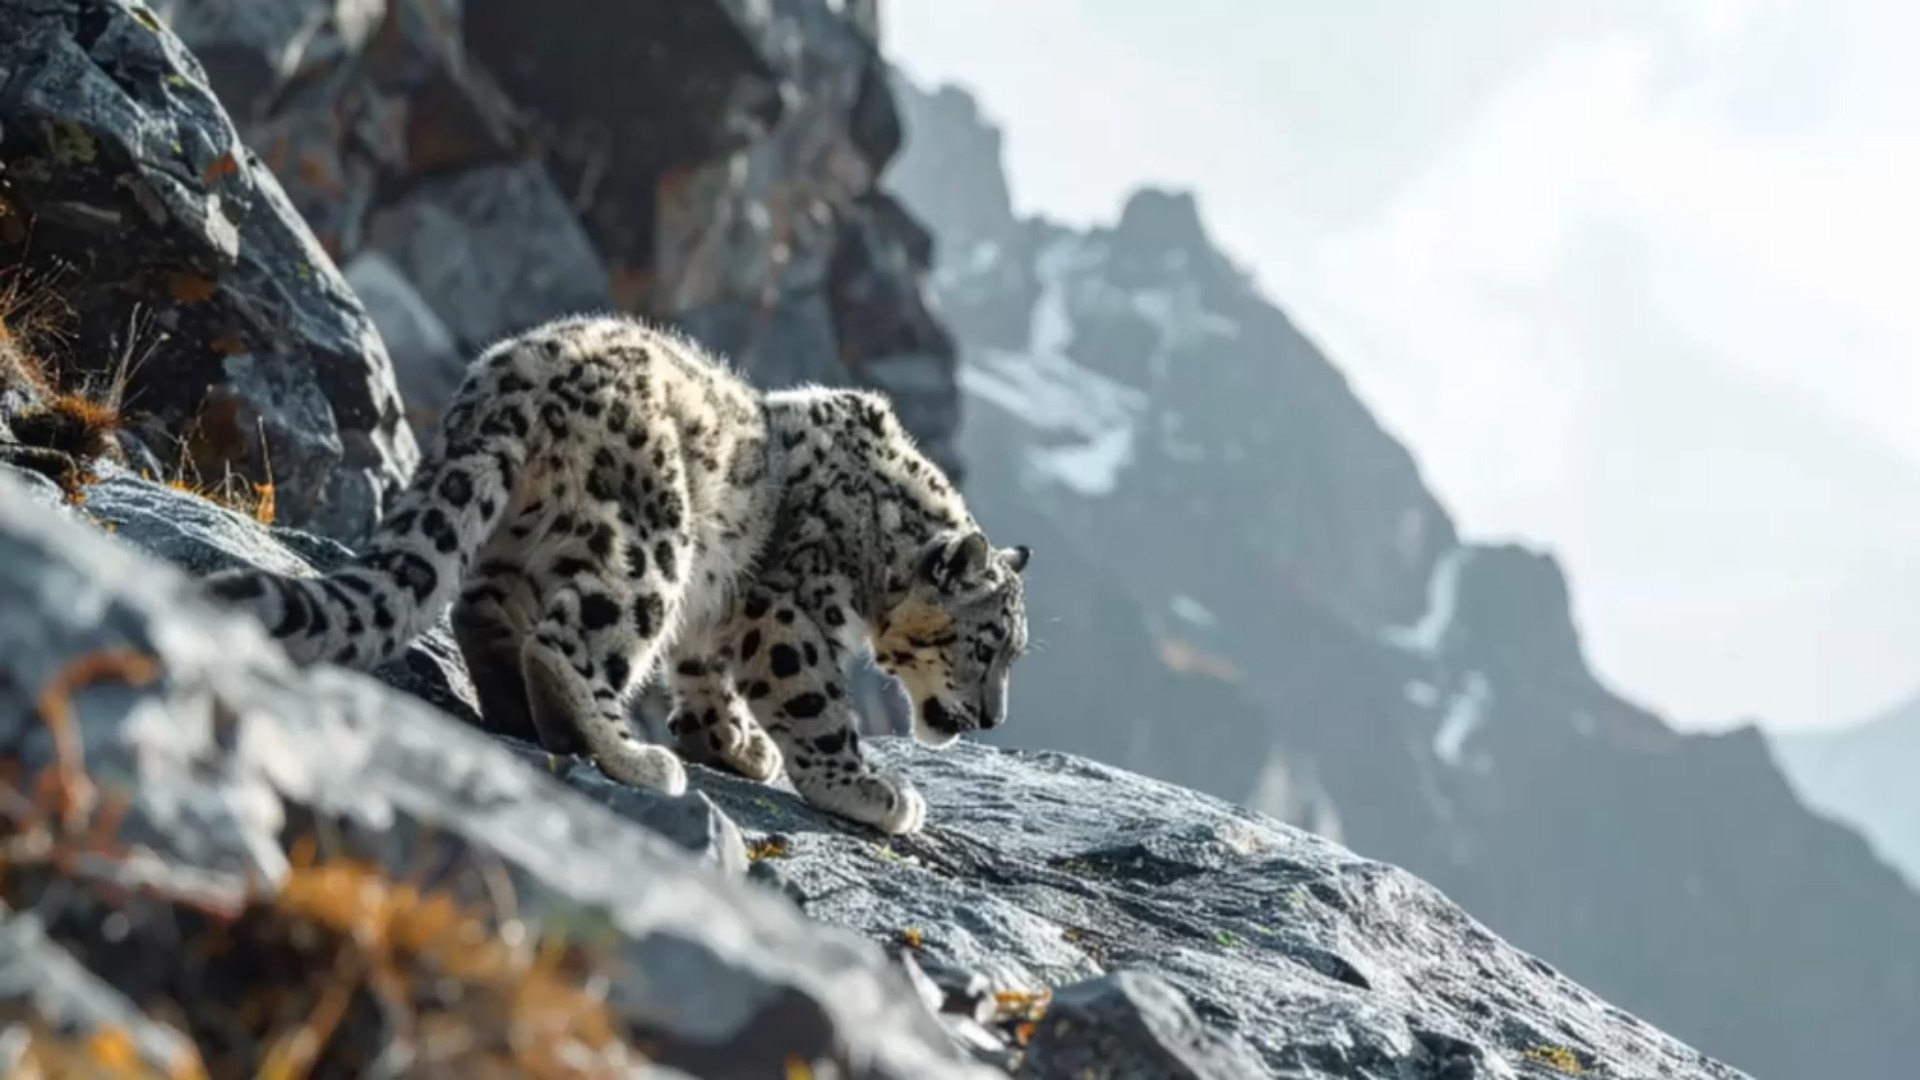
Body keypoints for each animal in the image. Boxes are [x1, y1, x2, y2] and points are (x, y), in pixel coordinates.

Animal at [200, 312, 1030, 835]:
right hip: (652, 537)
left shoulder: (720, 609)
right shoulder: (788, 609)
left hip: (525, 534)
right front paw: (871, 791)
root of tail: (517, 369)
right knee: (571, 641)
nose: (994, 718)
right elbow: (812, 700)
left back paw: (515, 708)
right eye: (986, 646)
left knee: (483, 608)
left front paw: (733, 743)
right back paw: (633, 756)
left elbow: (704, 674)